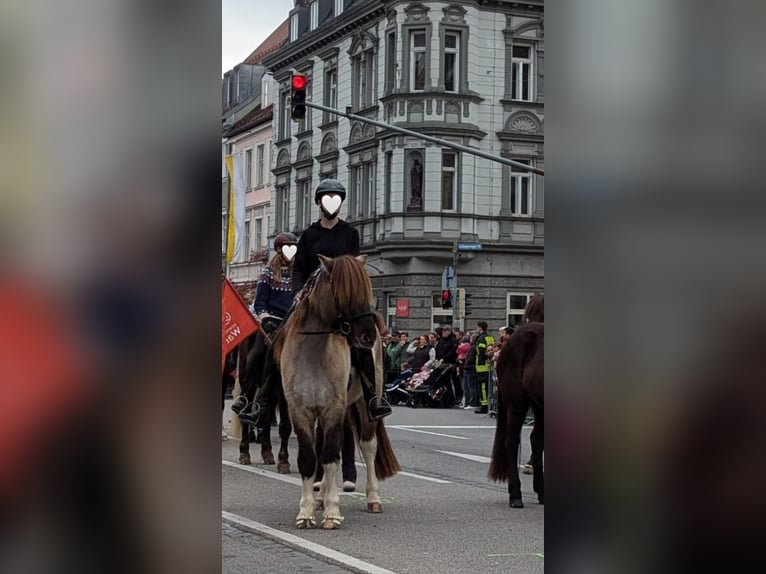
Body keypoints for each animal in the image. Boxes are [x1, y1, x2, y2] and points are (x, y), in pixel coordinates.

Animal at [274, 256, 402, 532]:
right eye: (346, 293)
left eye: (367, 290)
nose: (368, 334)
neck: (314, 351)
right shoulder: (300, 410)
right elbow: (309, 458)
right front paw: (306, 513)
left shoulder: (334, 408)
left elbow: (331, 457)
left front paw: (332, 513)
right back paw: (319, 498)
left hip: (365, 405)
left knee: (367, 446)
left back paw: (373, 499)